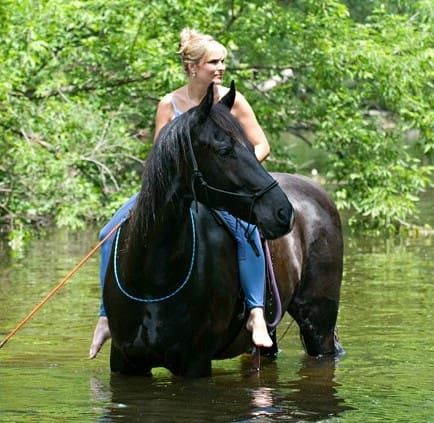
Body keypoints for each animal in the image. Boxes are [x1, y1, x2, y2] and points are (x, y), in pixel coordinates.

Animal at [103, 83, 344, 378]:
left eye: (251, 147)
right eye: (225, 150)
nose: (283, 212)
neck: (152, 278)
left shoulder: (194, 364)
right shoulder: (125, 363)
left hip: (318, 325)